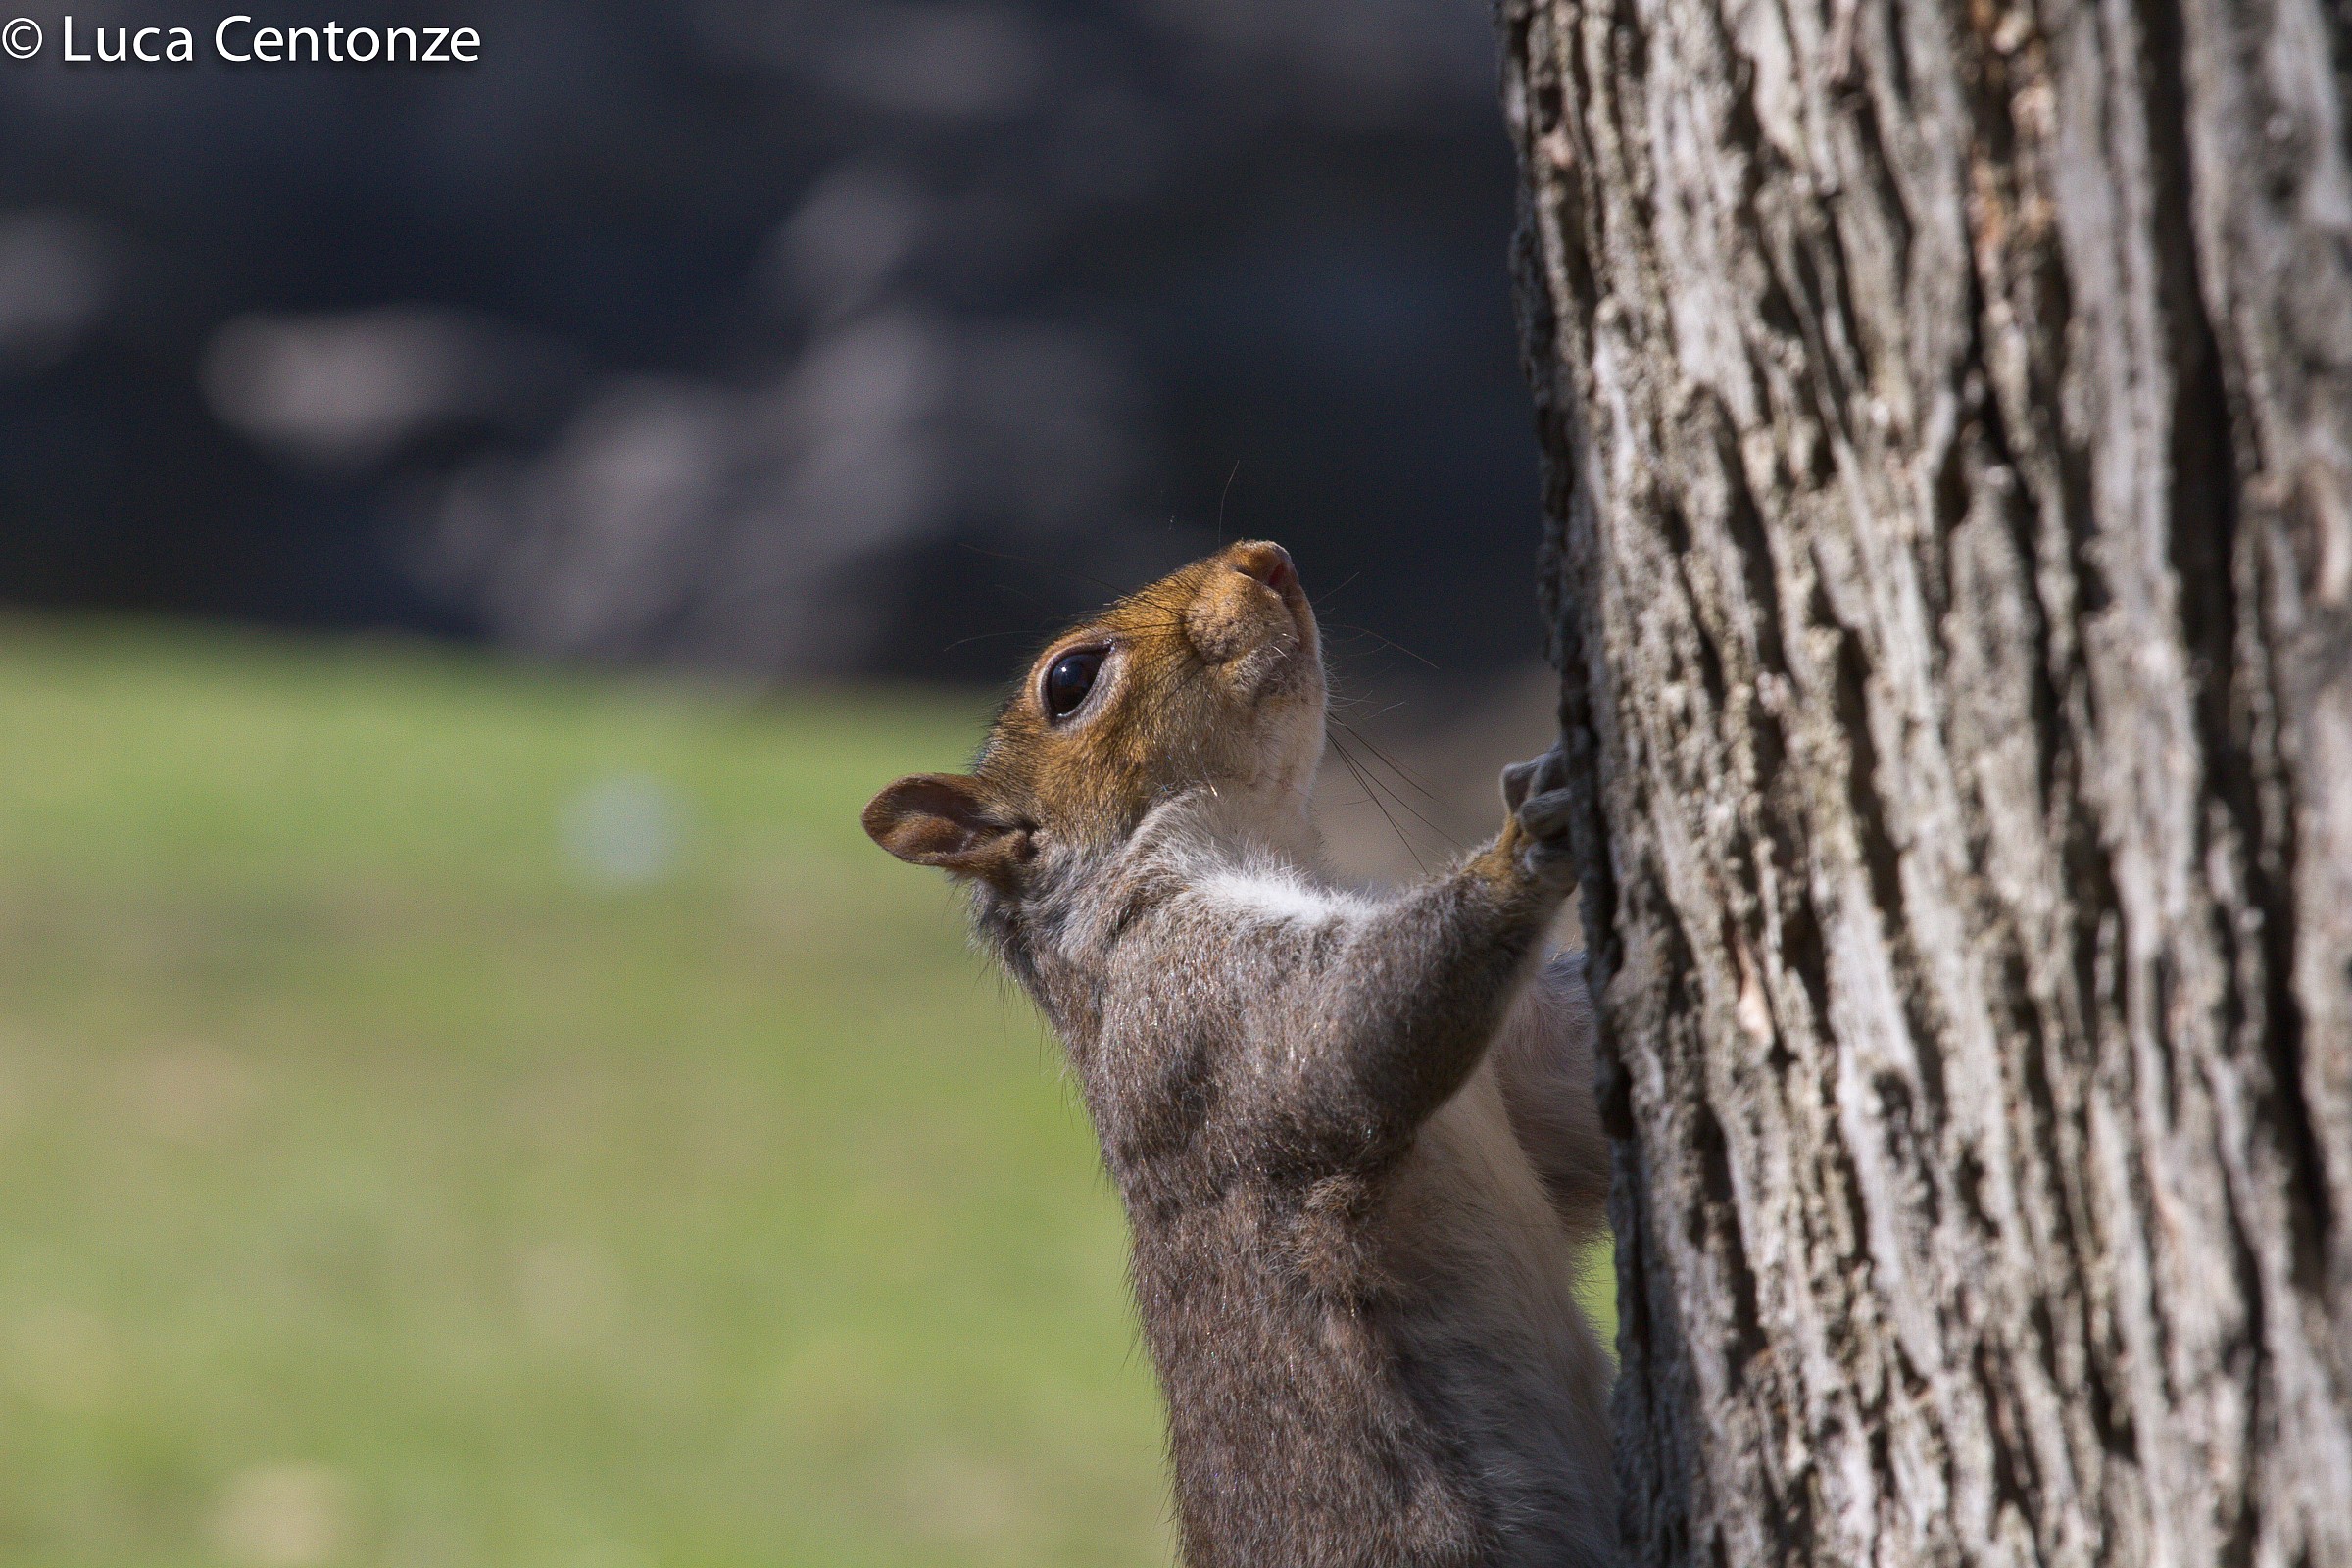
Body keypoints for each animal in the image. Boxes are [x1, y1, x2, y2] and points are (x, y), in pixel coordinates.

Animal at [863, 540, 1617, 1568]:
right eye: (1069, 680)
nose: (1269, 556)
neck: (1263, 840)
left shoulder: (1526, 1070)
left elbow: (1570, 1107)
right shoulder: (1194, 1009)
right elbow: (1351, 1030)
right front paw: (1524, 848)